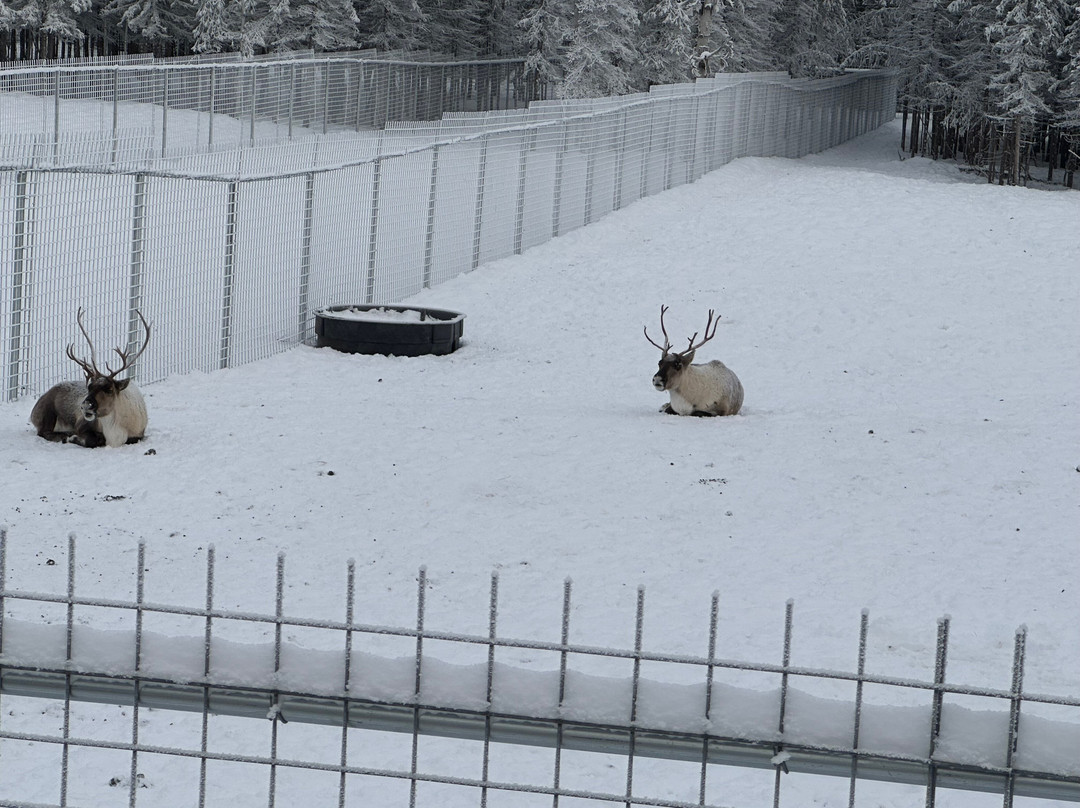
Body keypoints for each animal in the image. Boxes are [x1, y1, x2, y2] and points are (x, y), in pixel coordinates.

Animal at [31, 309, 151, 447]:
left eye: (109, 389)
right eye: (89, 387)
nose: (85, 406)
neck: (115, 433)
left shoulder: (138, 435)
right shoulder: (82, 425)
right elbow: (93, 440)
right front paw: (71, 437)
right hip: (48, 413)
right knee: (43, 432)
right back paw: (63, 435)